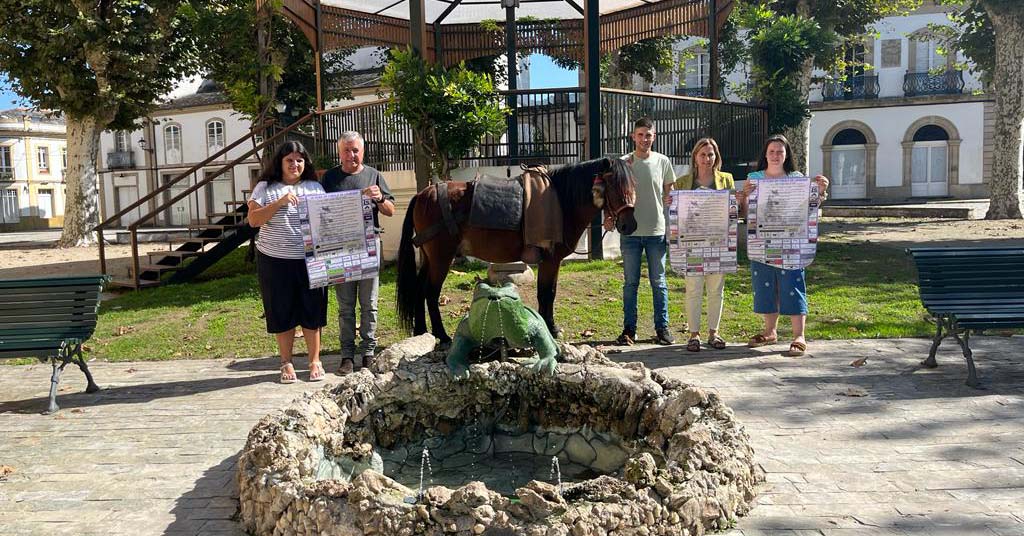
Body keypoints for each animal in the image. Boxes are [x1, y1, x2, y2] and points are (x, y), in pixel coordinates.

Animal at [395, 155, 634, 344]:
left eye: (632, 185)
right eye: (614, 186)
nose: (629, 225)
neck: (561, 201)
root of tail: (423, 194)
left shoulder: (552, 262)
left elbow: (549, 292)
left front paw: (550, 326)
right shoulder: (550, 260)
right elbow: (546, 293)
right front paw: (549, 327)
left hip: (429, 258)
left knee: (419, 290)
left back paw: (421, 332)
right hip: (441, 259)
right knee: (430, 292)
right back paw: (442, 335)